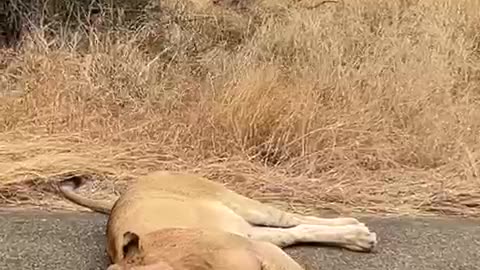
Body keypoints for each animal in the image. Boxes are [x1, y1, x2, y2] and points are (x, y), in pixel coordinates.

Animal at [58, 171, 376, 270]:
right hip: (249, 232)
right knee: (294, 231)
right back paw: (357, 235)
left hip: (239, 204)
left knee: (293, 218)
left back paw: (357, 230)